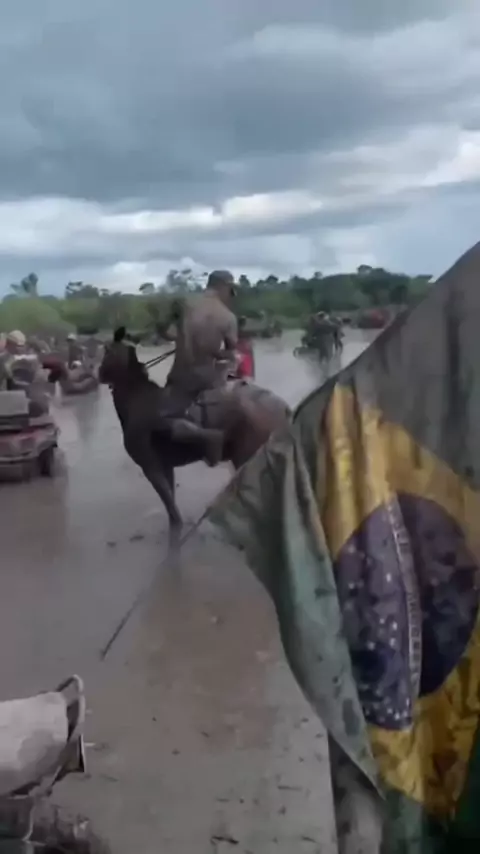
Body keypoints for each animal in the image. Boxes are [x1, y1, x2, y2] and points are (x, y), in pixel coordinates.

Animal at [99, 331, 291, 546]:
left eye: (106, 350)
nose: (98, 373)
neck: (136, 401)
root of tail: (281, 406)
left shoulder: (151, 467)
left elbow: (173, 512)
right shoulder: (165, 467)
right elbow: (171, 505)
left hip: (247, 457)